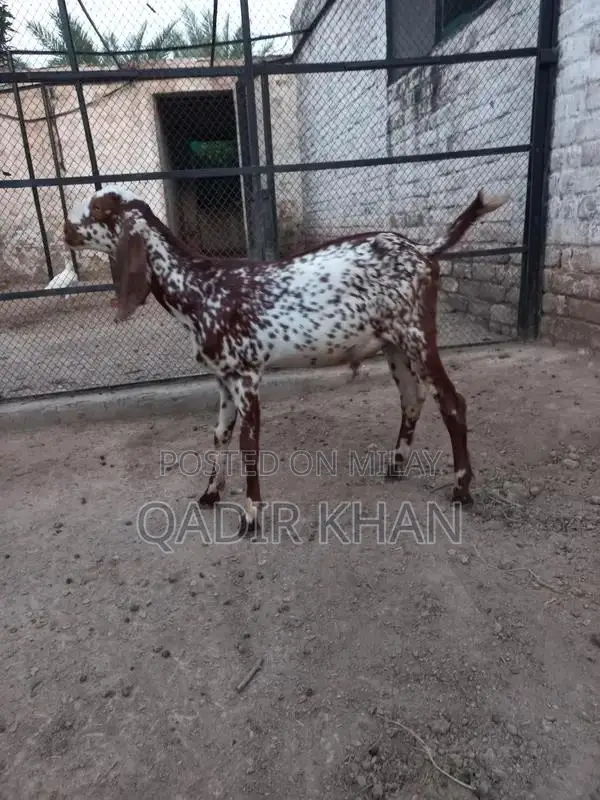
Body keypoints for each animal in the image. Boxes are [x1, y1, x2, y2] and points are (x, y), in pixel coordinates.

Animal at [64, 185, 507, 537]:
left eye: (99, 209)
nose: (66, 229)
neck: (200, 288)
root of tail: (422, 249)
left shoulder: (246, 376)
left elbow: (249, 443)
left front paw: (250, 516)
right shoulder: (223, 377)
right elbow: (219, 434)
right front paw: (209, 493)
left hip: (417, 335)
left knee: (451, 401)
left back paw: (461, 490)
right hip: (394, 344)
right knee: (412, 399)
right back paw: (395, 467)